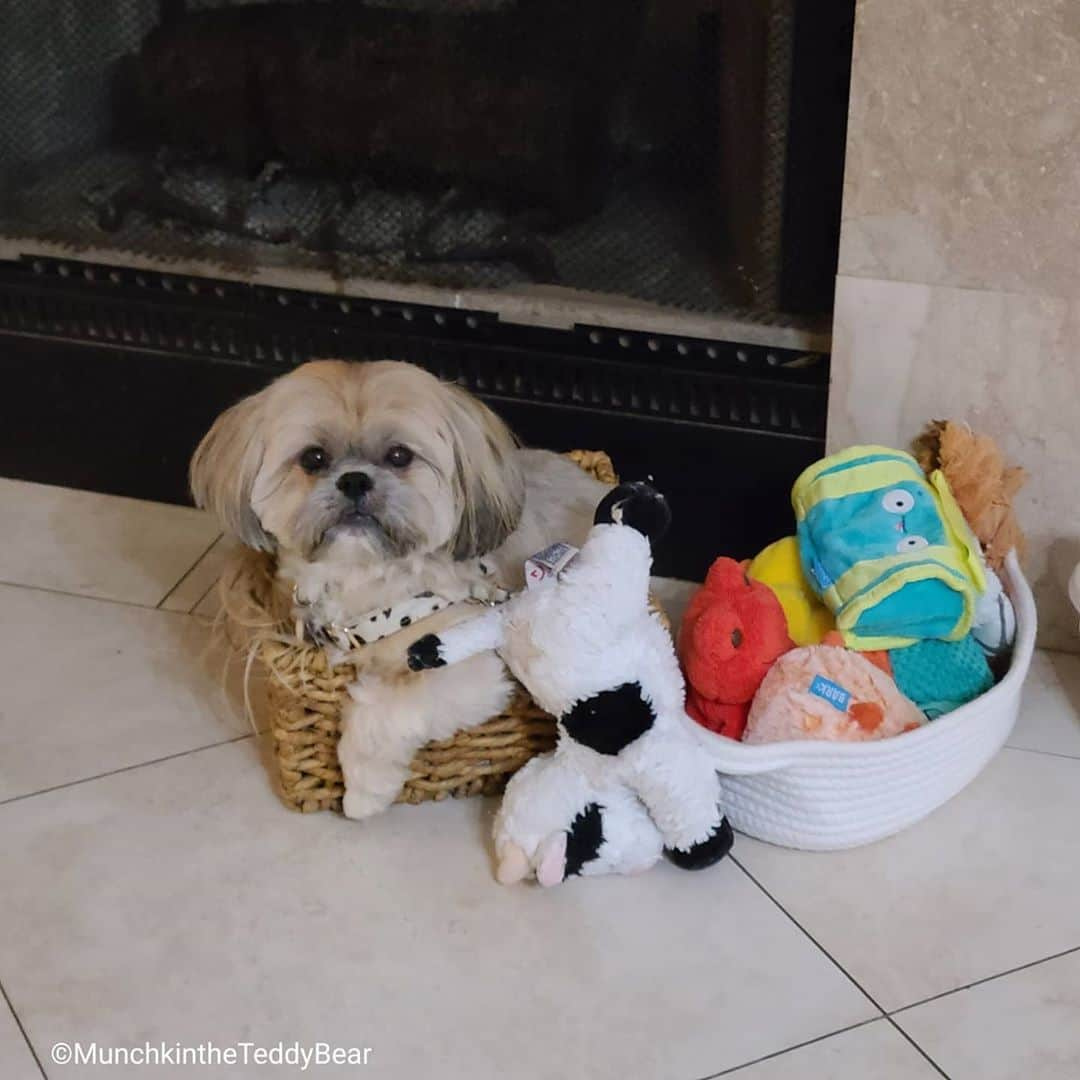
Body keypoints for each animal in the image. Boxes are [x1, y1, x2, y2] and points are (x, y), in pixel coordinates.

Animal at [189, 358, 604, 812]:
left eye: (399, 456)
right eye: (313, 458)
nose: (354, 479)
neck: (365, 579)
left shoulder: (465, 667)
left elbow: (386, 708)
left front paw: (363, 793)